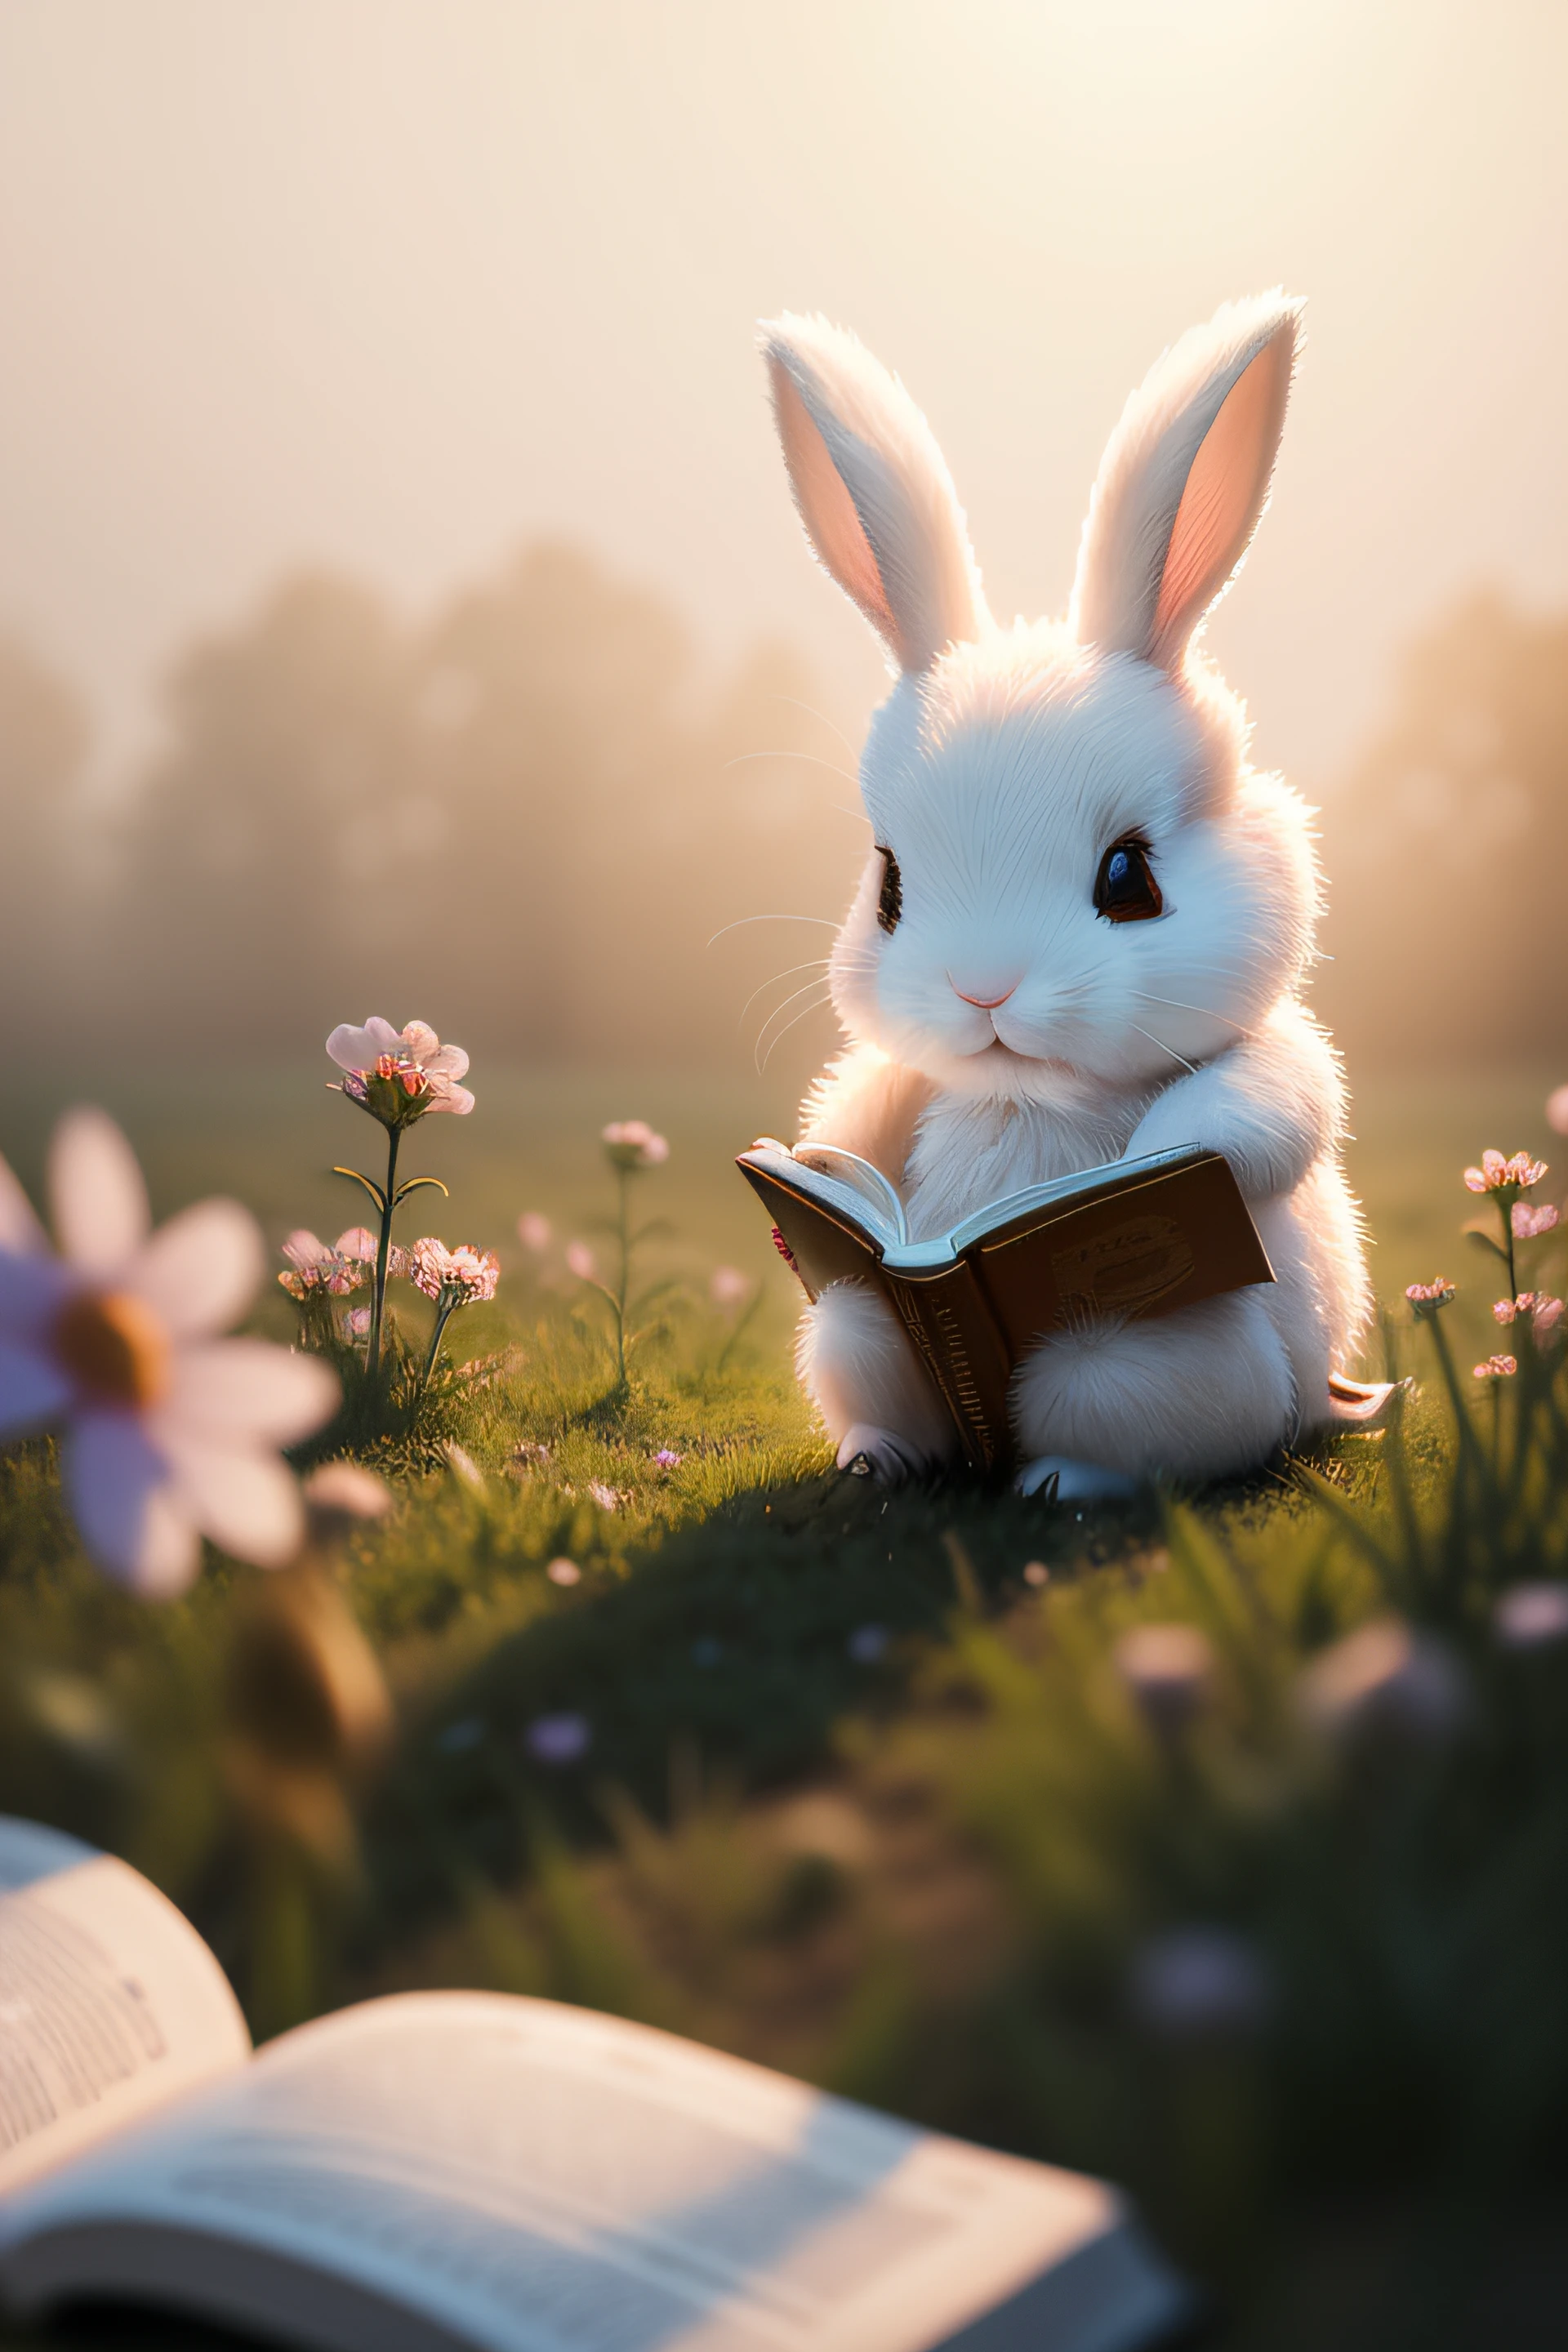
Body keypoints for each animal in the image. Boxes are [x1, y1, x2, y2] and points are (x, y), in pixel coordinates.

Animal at [761, 294, 1373, 1495]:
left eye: (1130, 877)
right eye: (889, 886)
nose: (983, 992)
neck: (1025, 1098)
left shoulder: (1266, 1072)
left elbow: (1263, 1114)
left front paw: (1155, 1158)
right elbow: (859, 1108)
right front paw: (817, 1171)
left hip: (1138, 1360)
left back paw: (1061, 1482)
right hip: (856, 1325)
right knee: (873, 1341)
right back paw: (878, 1460)